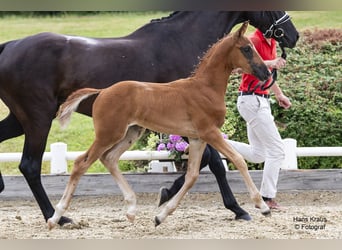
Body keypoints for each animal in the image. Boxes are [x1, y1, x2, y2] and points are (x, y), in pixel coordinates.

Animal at [0, 11, 300, 225]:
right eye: (247, 49)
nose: (293, 35)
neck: (202, 85)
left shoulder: (197, 136)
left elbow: (195, 172)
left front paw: (163, 206)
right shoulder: (207, 132)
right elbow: (228, 161)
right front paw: (251, 207)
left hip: (119, 131)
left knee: (106, 159)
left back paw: (128, 209)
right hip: (46, 120)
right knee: (53, 164)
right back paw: (58, 216)